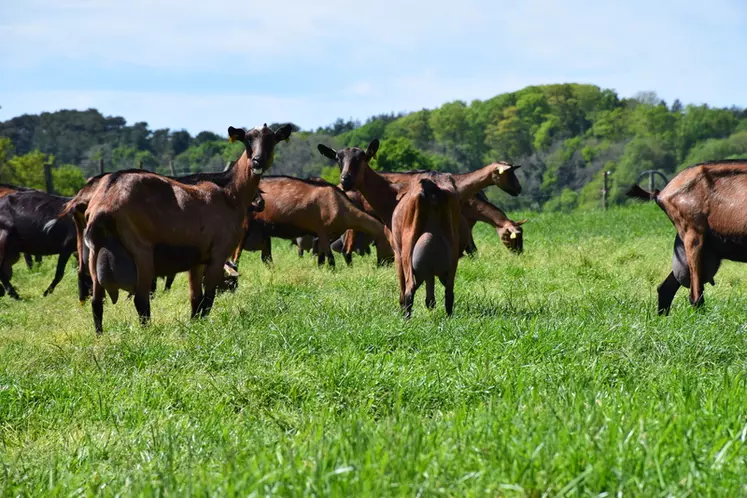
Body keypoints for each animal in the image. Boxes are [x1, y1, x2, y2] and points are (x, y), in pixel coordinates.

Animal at [82, 124, 292, 334]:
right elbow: (208, 298)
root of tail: (104, 203)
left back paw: (100, 336)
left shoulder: (196, 260)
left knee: (97, 302)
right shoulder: (218, 253)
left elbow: (195, 298)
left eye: (272, 140)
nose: (257, 161)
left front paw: (194, 325)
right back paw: (148, 334)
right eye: (248, 139)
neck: (229, 193)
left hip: (94, 254)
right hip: (141, 255)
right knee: (141, 300)